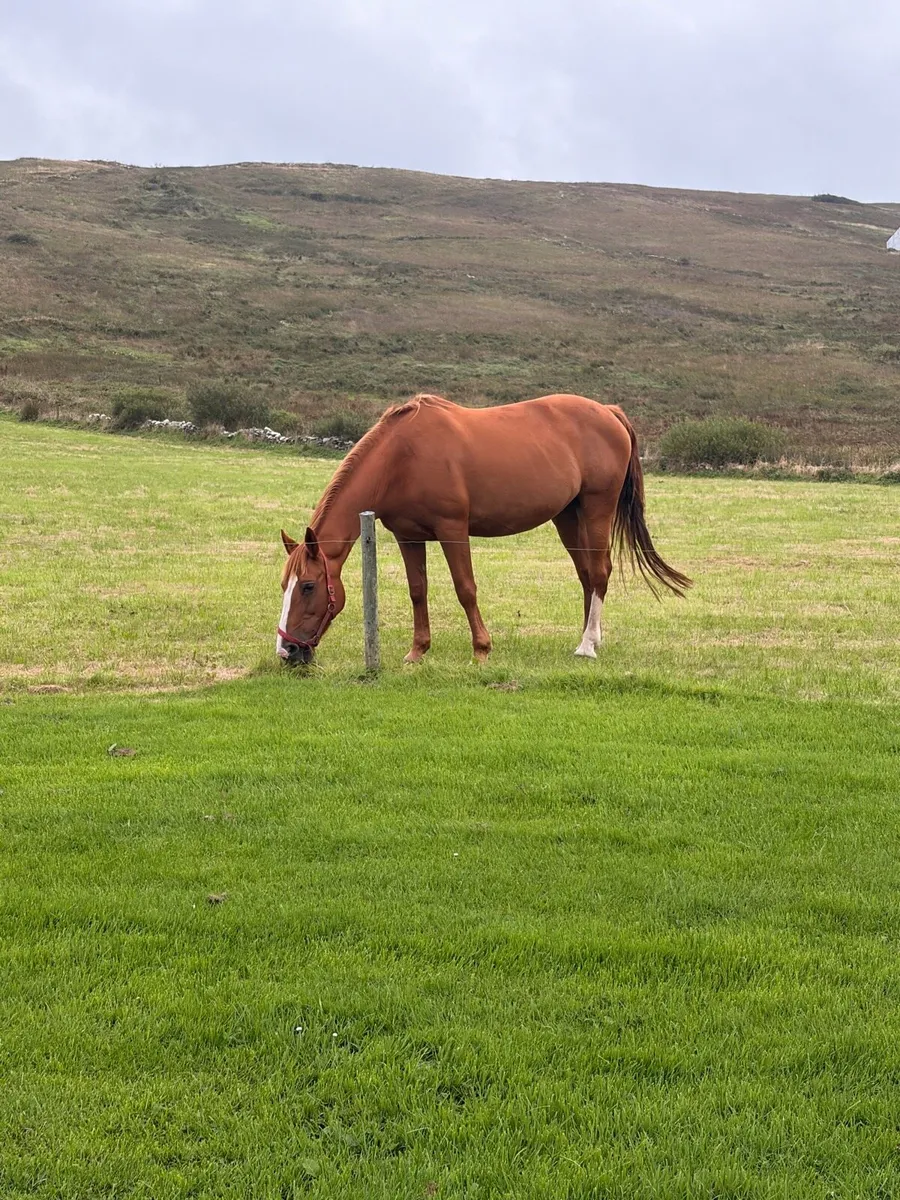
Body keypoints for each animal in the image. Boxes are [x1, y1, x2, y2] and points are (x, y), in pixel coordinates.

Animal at [276, 393, 690, 665]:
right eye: (284, 586)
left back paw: (586, 645)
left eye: (308, 586)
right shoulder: (408, 536)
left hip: (596, 508)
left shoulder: (452, 529)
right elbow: (417, 591)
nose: (287, 650)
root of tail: (608, 412)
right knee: (587, 574)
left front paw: (481, 649)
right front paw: (417, 652)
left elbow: (466, 589)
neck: (401, 459)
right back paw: (592, 637)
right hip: (568, 516)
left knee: (600, 571)